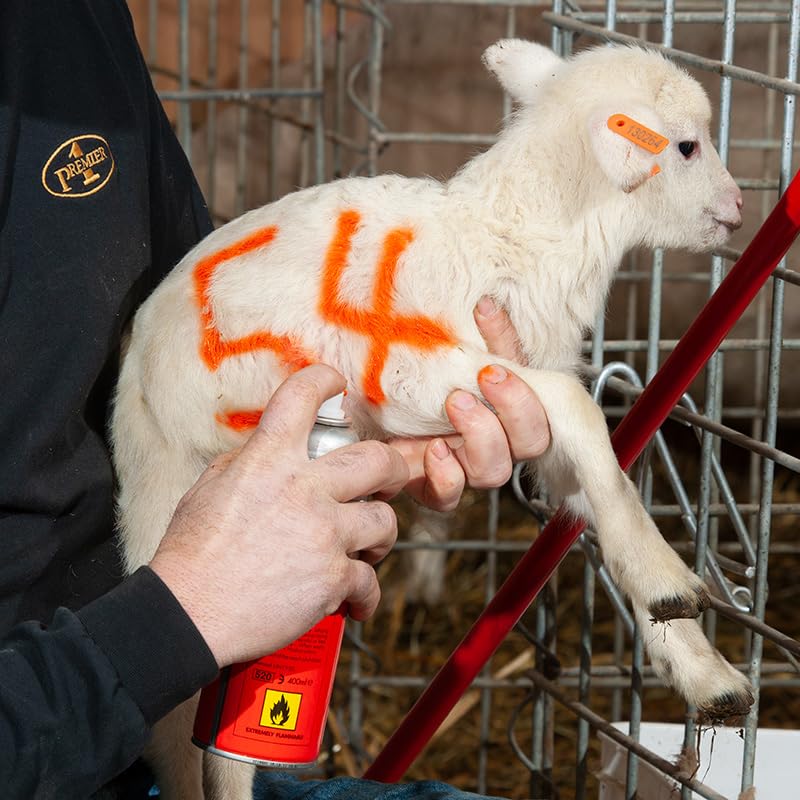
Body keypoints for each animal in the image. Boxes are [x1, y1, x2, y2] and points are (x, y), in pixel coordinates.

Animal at [111, 39, 753, 800]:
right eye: (686, 146)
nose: (740, 205)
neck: (518, 237)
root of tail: (134, 397)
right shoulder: (413, 373)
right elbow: (580, 410)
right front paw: (670, 583)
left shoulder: (533, 425)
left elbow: (598, 490)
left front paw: (698, 664)